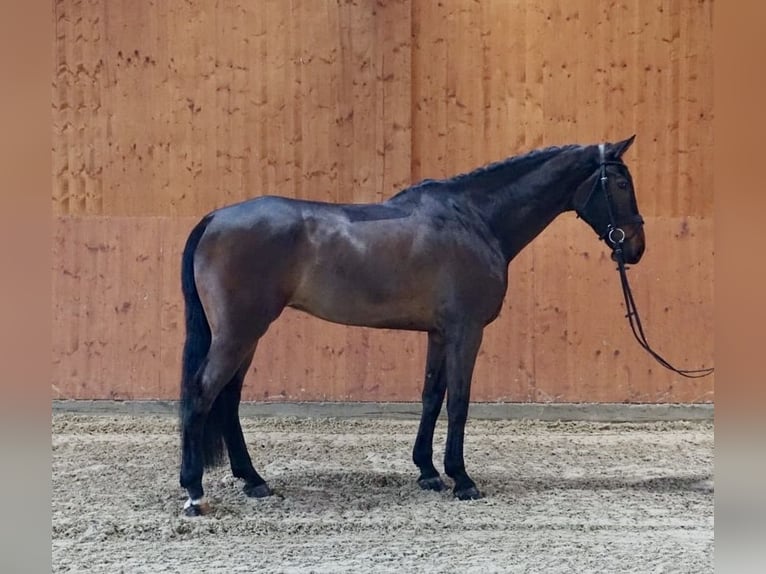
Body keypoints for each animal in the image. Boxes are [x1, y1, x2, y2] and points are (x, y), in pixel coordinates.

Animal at [177, 136, 644, 516]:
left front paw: (428, 472)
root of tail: (215, 219)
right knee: (202, 394)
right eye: (622, 184)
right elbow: (459, 402)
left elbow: (431, 397)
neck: (474, 220)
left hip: (247, 335)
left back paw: (254, 481)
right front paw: (462, 480)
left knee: (228, 399)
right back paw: (194, 492)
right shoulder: (466, 331)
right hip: (239, 333)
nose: (636, 247)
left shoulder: (439, 333)